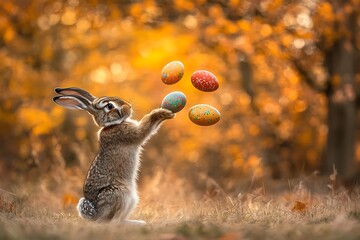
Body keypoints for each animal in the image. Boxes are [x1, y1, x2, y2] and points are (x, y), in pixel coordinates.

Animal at [52, 87, 175, 224]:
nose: (129, 107)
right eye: (109, 106)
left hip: (131, 199)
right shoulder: (130, 134)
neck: (112, 125)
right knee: (112, 223)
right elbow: (145, 128)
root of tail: (96, 214)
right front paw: (161, 113)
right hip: (120, 194)